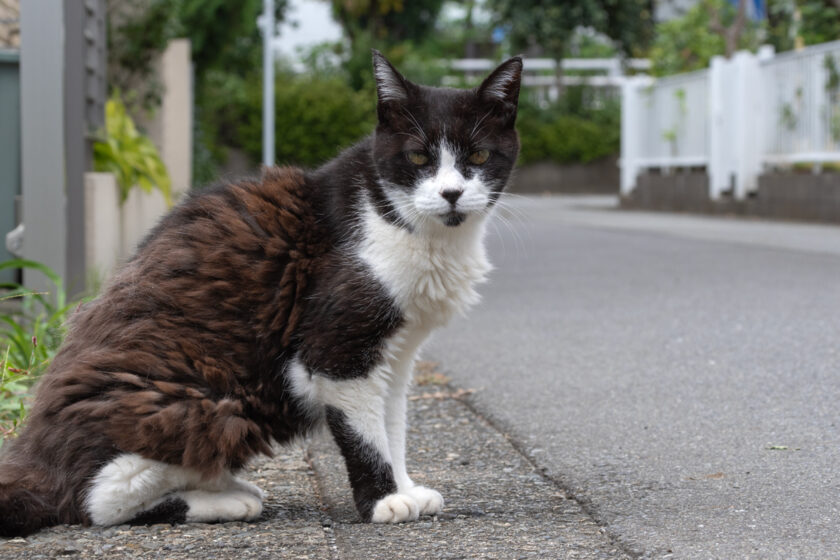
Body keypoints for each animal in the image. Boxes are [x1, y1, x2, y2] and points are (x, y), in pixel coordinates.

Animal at [0, 50, 520, 536]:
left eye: (477, 157)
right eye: (417, 157)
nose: (451, 194)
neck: (399, 219)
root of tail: (37, 459)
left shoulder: (397, 351)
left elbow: (392, 424)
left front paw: (406, 488)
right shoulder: (339, 350)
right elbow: (365, 434)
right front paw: (384, 501)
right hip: (201, 404)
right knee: (98, 500)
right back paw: (225, 500)